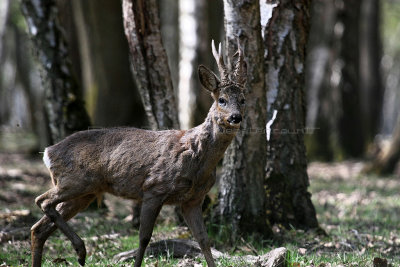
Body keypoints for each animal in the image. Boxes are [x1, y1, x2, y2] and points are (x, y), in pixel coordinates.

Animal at [30, 40, 247, 267]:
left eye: (243, 99)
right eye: (221, 99)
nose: (236, 117)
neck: (197, 159)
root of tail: (48, 152)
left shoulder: (193, 200)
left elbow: (203, 240)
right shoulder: (154, 188)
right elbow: (144, 238)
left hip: (84, 192)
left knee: (38, 229)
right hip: (75, 181)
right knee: (42, 201)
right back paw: (81, 250)